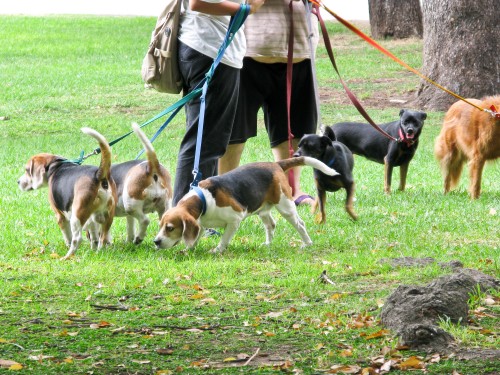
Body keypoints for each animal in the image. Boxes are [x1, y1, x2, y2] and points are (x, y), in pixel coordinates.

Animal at [17, 128, 116, 260]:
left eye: (27, 170)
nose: (18, 182)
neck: (56, 166)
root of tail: (98, 175)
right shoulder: (91, 220)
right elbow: (94, 235)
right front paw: (93, 249)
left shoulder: (60, 216)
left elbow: (67, 236)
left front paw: (68, 245)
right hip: (106, 217)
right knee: (102, 238)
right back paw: (98, 251)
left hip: (76, 216)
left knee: (77, 239)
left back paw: (67, 256)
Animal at [153, 157, 340, 254]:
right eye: (160, 226)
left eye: (170, 228)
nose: (156, 241)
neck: (204, 199)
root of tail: (275, 164)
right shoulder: (200, 223)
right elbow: (195, 237)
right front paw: (188, 249)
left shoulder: (235, 219)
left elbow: (224, 238)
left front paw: (218, 250)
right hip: (263, 210)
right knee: (271, 225)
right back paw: (268, 244)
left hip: (285, 206)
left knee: (300, 224)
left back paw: (307, 243)